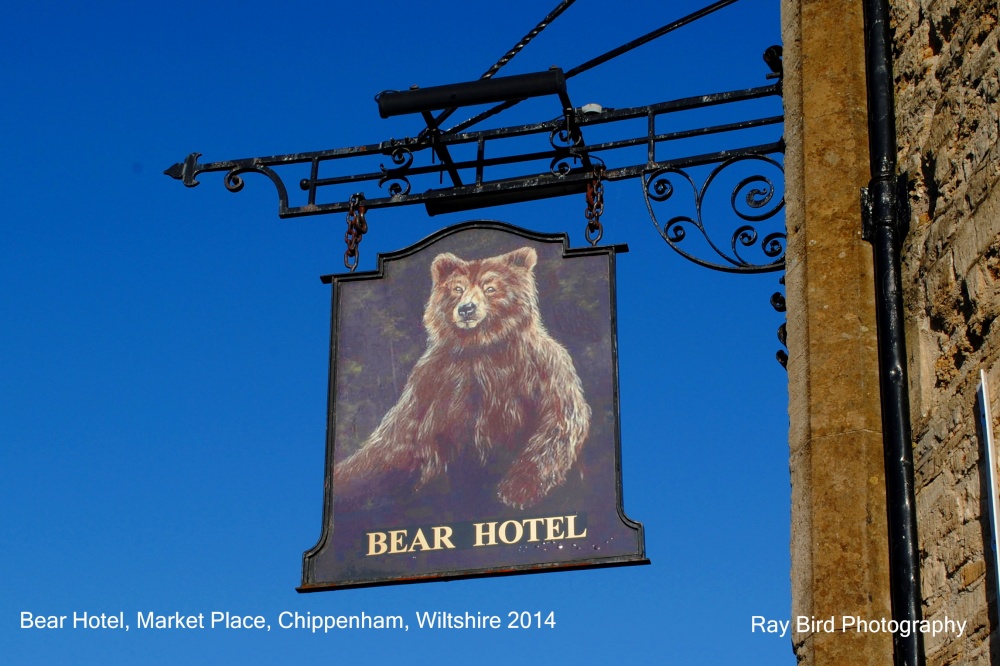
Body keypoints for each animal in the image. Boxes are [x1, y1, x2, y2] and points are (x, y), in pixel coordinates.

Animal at [332, 244, 588, 508]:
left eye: (490, 287)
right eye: (457, 288)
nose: (466, 308)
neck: (482, 346)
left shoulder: (542, 370)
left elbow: (558, 422)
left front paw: (517, 490)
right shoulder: (435, 382)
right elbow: (398, 442)